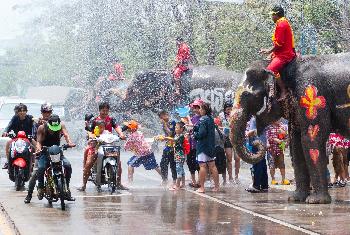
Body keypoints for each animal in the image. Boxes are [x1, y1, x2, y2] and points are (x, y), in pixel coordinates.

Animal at [231, 53, 350, 204]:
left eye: (249, 95)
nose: (256, 140)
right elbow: (296, 143)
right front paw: (295, 199)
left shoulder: (312, 96)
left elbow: (311, 139)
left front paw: (315, 201)